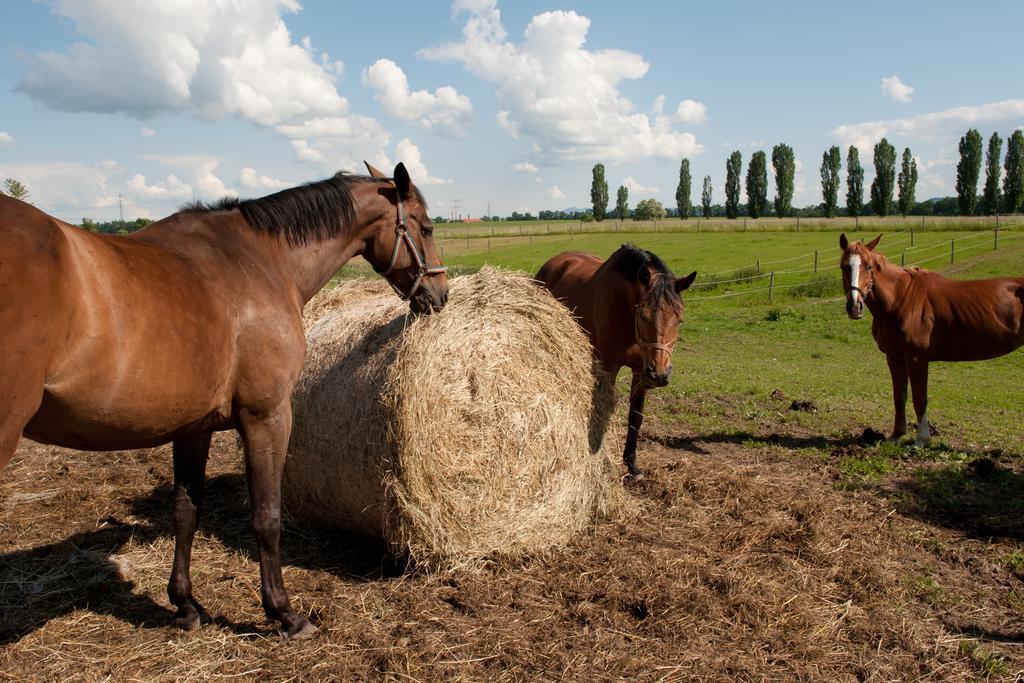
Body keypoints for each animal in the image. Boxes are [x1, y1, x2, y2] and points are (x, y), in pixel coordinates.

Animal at [0, 161, 448, 643]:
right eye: (425, 227)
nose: (441, 295)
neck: (261, 260)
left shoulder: (191, 428)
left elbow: (185, 512)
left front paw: (184, 604)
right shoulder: (267, 417)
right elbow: (267, 517)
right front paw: (284, 613)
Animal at [536, 246, 696, 481]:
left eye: (680, 319)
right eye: (644, 316)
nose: (659, 374)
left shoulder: (640, 371)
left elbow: (635, 417)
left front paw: (632, 465)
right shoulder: (609, 366)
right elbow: (602, 411)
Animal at [839, 235, 1024, 446]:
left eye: (869, 266)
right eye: (843, 266)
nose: (854, 306)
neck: (901, 299)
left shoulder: (916, 358)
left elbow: (919, 398)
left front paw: (922, 438)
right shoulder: (894, 358)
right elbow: (899, 396)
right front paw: (897, 434)